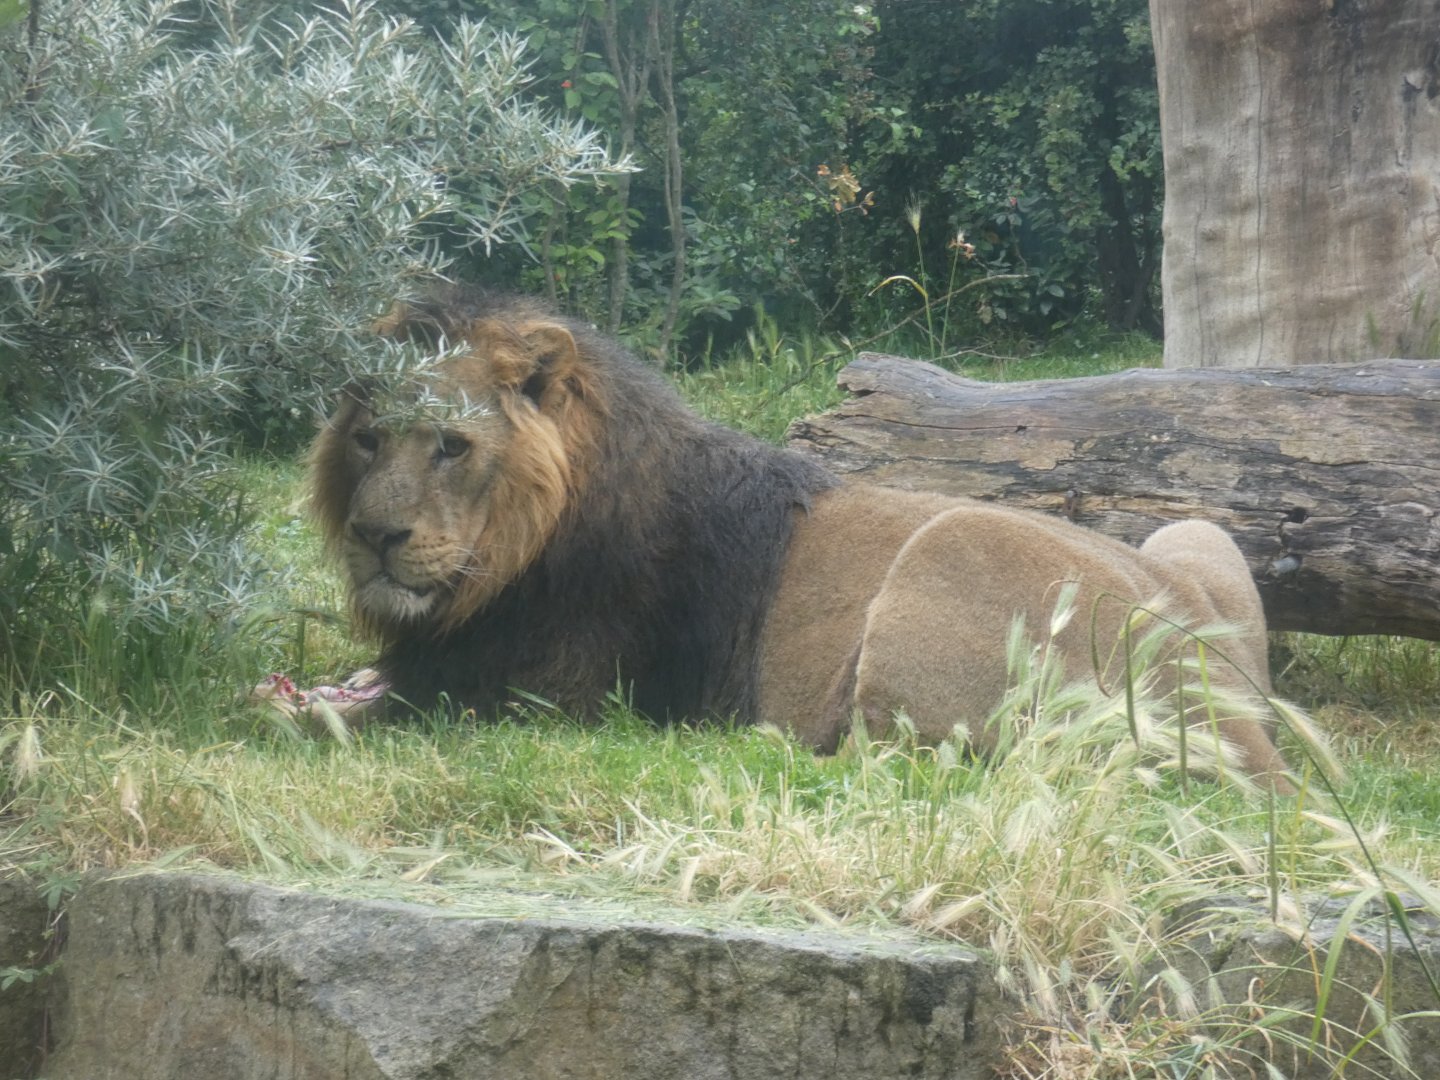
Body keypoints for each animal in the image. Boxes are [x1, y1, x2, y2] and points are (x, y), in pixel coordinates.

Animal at [309, 284, 1295, 791]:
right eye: (368, 439)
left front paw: (327, 711)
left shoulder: (560, 697)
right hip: (1196, 536)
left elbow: (411, 706)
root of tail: (1232, 722)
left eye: (451, 445)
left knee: (898, 770)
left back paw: (754, 745)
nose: (375, 535)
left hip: (953, 536)